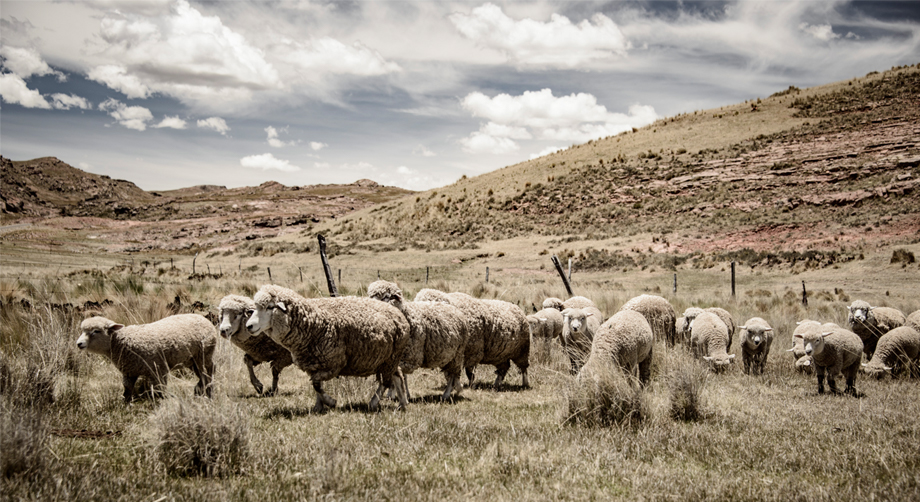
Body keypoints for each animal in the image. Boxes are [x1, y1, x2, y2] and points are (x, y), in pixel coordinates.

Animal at [77, 314, 217, 404]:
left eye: (96, 331)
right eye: (82, 331)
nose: (79, 344)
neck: (123, 342)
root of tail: (203, 318)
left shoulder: (158, 369)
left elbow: (159, 390)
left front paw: (163, 403)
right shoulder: (129, 371)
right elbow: (127, 389)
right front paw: (126, 404)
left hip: (204, 354)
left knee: (208, 373)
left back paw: (208, 394)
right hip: (192, 360)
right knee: (202, 376)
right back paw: (199, 391)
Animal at [244, 284, 410, 414]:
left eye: (270, 307)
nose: (248, 326)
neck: (310, 322)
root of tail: (397, 313)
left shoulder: (334, 363)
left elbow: (316, 384)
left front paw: (330, 401)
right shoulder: (314, 363)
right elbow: (316, 385)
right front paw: (318, 406)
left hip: (390, 358)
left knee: (386, 382)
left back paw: (374, 402)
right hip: (389, 358)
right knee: (398, 375)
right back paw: (402, 403)